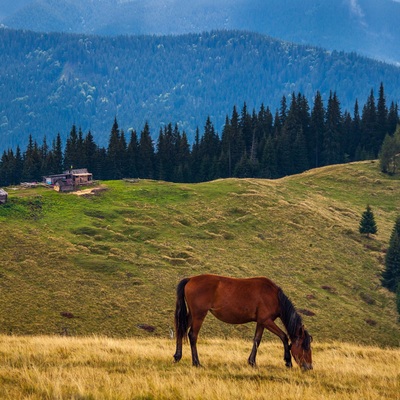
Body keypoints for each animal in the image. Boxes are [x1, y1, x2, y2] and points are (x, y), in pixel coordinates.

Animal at [173, 276, 314, 368]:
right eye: (305, 347)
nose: (309, 367)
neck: (274, 296)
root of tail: (190, 279)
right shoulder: (267, 321)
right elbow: (284, 337)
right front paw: (288, 361)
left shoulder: (261, 322)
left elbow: (257, 340)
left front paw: (252, 362)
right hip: (199, 314)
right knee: (192, 335)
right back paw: (196, 362)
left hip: (192, 314)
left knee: (181, 330)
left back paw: (177, 356)